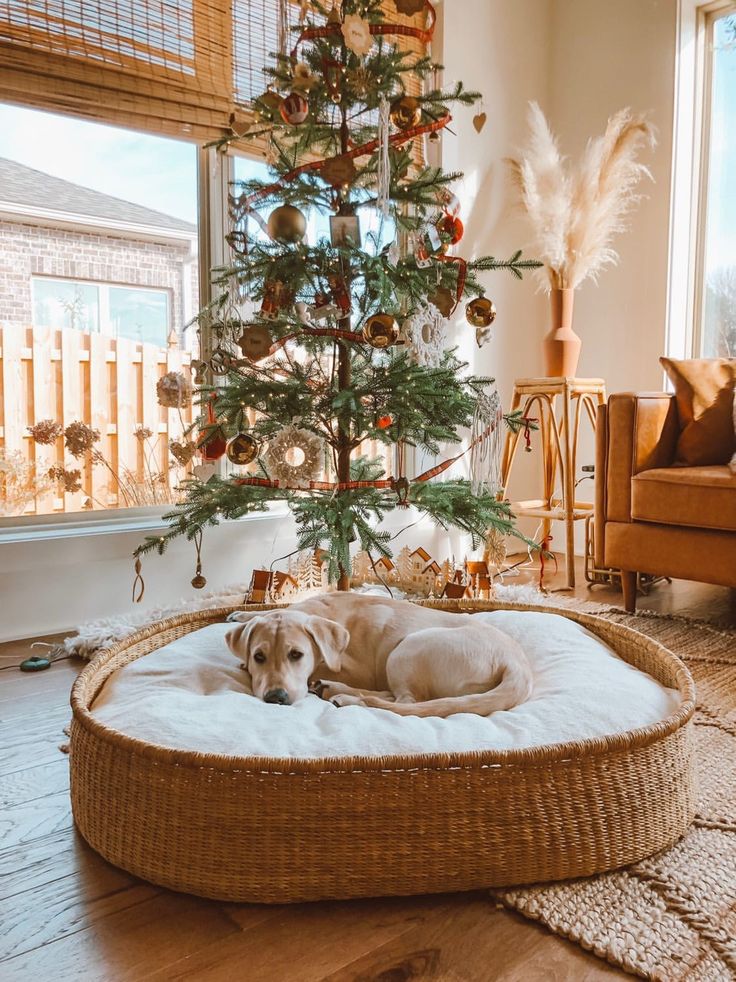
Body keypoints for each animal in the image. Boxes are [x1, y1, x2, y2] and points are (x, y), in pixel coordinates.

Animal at [224, 592, 528, 724]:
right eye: (259, 656)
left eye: (296, 655)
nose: (276, 698)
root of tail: (516, 663)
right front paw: (243, 615)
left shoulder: (356, 668)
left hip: (406, 650)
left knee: (402, 703)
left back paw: (345, 696)